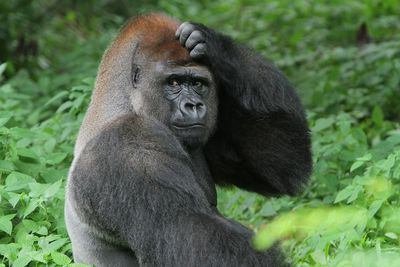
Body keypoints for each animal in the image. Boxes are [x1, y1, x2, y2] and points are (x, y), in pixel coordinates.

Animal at [64, 13, 310, 267]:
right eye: (174, 83)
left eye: (198, 84)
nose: (194, 105)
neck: (126, 103)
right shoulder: (129, 146)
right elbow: (194, 238)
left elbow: (280, 167)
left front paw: (214, 45)